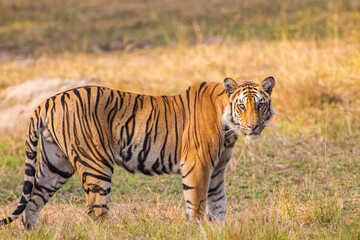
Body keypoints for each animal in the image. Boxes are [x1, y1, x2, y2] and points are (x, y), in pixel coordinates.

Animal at [0, 77, 276, 229]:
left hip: (56, 164)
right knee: (96, 210)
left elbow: (218, 205)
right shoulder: (198, 166)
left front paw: (218, 230)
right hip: (96, 164)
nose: (254, 126)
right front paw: (198, 230)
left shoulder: (217, 170)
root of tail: (47, 101)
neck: (230, 130)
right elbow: (197, 205)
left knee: (32, 202)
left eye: (260, 105)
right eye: (242, 106)